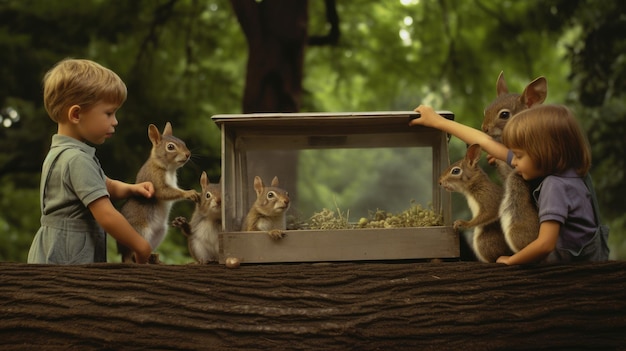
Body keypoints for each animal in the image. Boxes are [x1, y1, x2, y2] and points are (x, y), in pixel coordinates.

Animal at [119, 122, 200, 262]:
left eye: (183, 142)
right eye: (170, 147)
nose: (188, 154)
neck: (169, 169)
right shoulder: (155, 179)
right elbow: (163, 192)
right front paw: (189, 193)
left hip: (161, 232)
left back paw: (152, 256)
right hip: (141, 231)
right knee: (133, 254)